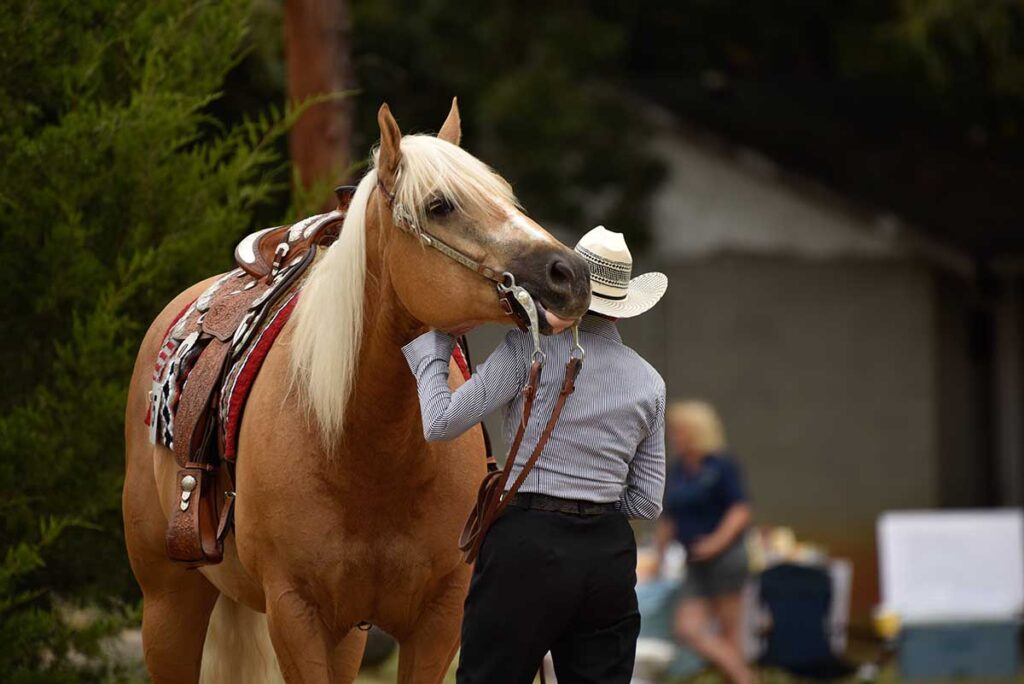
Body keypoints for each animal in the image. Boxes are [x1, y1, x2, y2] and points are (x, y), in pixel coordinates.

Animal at [122, 99, 592, 683]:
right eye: (439, 205)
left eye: (505, 195)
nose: (569, 274)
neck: (367, 453)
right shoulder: (295, 613)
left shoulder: (438, 619)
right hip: (168, 603)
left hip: (345, 637)